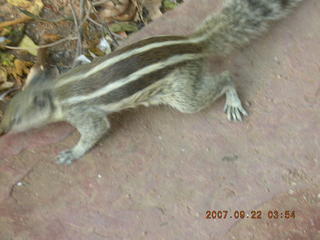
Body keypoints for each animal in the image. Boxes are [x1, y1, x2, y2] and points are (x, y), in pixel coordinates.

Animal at [0, 0, 302, 164]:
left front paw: (73, 152)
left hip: (183, 94)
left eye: (16, 118)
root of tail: (194, 44)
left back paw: (232, 100)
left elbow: (95, 131)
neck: (56, 91)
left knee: (224, 78)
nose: (4, 129)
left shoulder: (83, 113)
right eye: (9, 110)